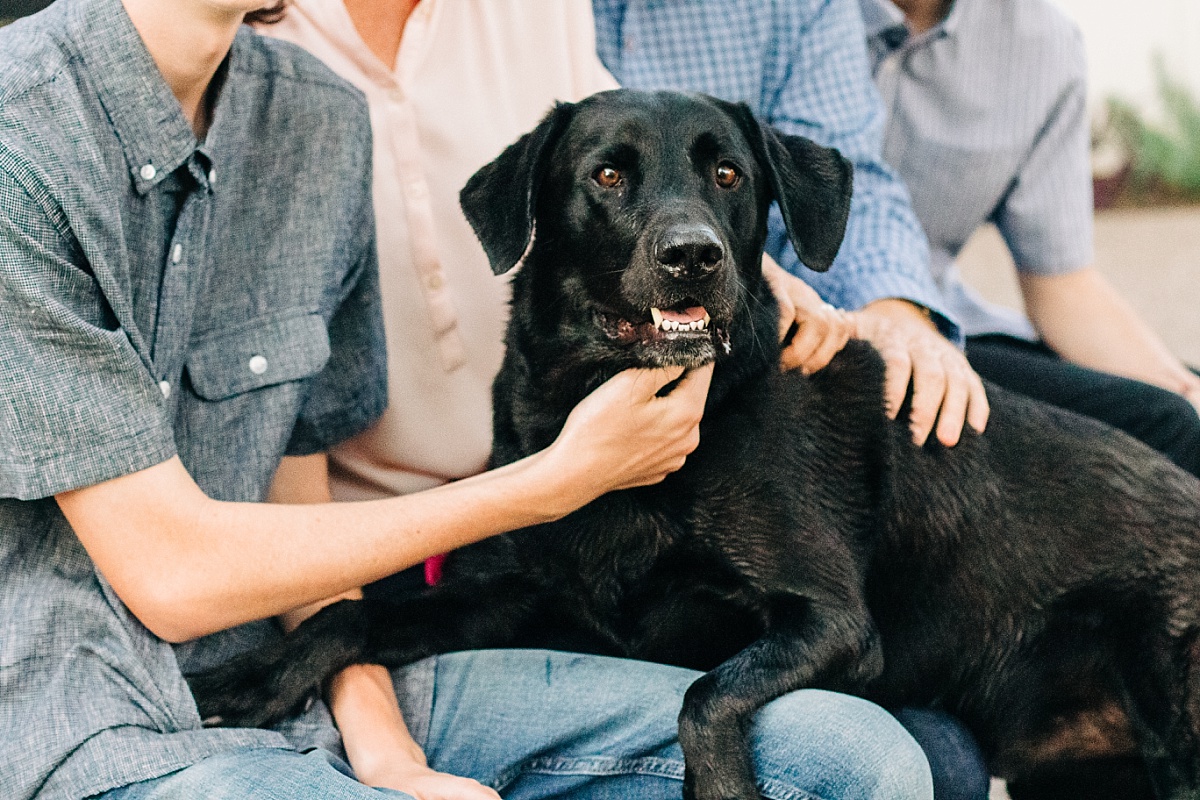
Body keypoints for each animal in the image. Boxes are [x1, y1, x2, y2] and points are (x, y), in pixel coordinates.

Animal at [192, 89, 1200, 800]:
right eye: (606, 176)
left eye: (728, 176)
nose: (693, 256)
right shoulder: (532, 601)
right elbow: (351, 616)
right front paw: (247, 680)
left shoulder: (831, 621)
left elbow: (705, 695)